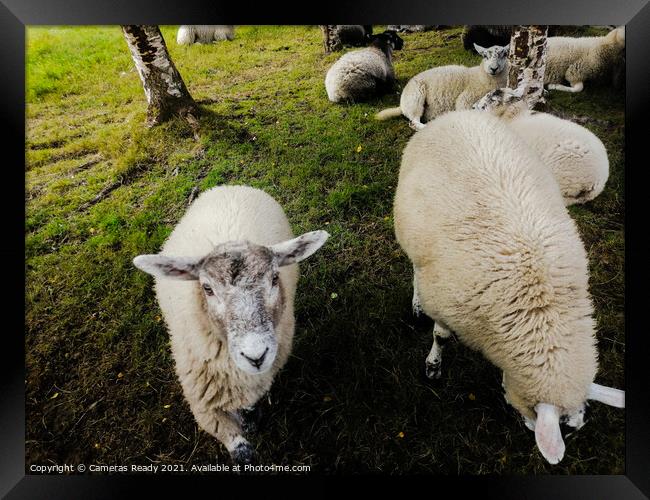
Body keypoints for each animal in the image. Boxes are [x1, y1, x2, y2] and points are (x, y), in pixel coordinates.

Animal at [131, 186, 326, 462]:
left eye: (275, 278)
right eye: (207, 288)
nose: (255, 356)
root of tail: (230, 186)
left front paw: (251, 419)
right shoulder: (202, 404)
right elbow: (236, 444)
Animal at [372, 45, 508, 130]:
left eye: (504, 55)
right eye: (485, 56)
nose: (494, 69)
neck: (481, 77)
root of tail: (402, 105)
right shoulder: (465, 99)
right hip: (415, 97)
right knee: (414, 121)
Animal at [390, 110, 624, 464]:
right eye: (562, 428)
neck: (537, 303)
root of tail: (458, 113)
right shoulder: (444, 300)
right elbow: (440, 337)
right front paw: (433, 366)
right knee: (416, 266)